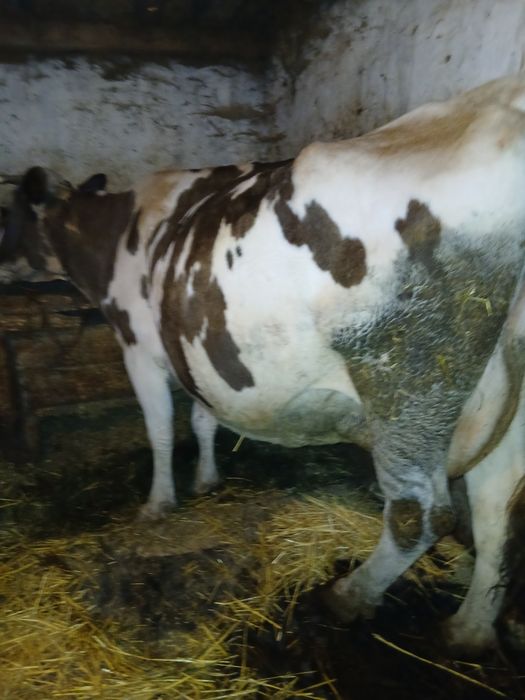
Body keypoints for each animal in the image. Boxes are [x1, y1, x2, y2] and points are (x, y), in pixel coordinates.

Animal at [2, 73, 525, 656]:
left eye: (9, 214)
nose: (3, 263)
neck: (115, 235)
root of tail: (499, 100)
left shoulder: (137, 346)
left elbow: (160, 428)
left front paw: (158, 503)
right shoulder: (197, 352)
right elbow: (204, 417)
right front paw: (207, 479)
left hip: (409, 377)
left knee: (422, 513)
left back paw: (349, 595)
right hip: (503, 393)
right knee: (497, 507)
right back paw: (469, 630)